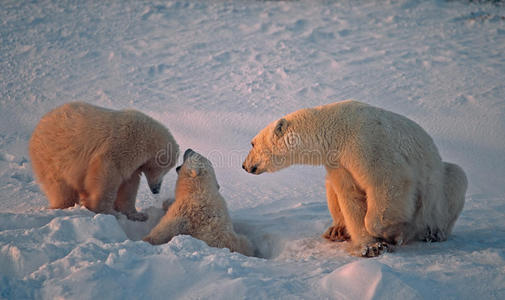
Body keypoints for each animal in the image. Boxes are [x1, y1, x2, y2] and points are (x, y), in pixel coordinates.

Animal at [29, 102, 179, 221]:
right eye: (164, 170)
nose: (156, 189)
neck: (146, 138)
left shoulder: (133, 165)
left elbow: (129, 185)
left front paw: (138, 215)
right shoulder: (122, 147)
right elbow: (106, 176)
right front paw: (109, 212)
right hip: (51, 155)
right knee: (59, 186)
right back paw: (63, 205)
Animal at [242, 101, 466, 258]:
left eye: (252, 143)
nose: (244, 165)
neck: (336, 131)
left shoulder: (367, 144)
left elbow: (388, 182)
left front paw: (391, 234)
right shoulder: (339, 162)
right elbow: (350, 196)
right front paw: (371, 247)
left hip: (439, 181)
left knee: (454, 179)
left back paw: (434, 233)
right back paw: (336, 230)